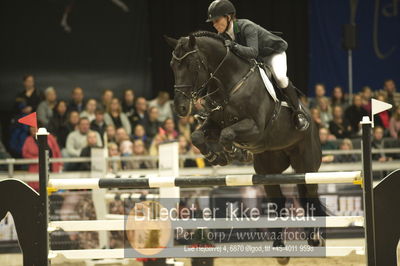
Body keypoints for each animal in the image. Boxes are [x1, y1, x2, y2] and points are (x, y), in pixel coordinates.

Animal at [164, 30, 326, 252]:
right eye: (172, 65)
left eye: (191, 65)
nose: (180, 108)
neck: (229, 84)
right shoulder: (213, 124)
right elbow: (198, 136)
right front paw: (217, 156)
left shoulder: (255, 129)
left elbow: (227, 135)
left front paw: (234, 152)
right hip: (268, 170)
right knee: (279, 200)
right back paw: (279, 243)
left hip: (307, 166)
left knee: (310, 194)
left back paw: (315, 237)